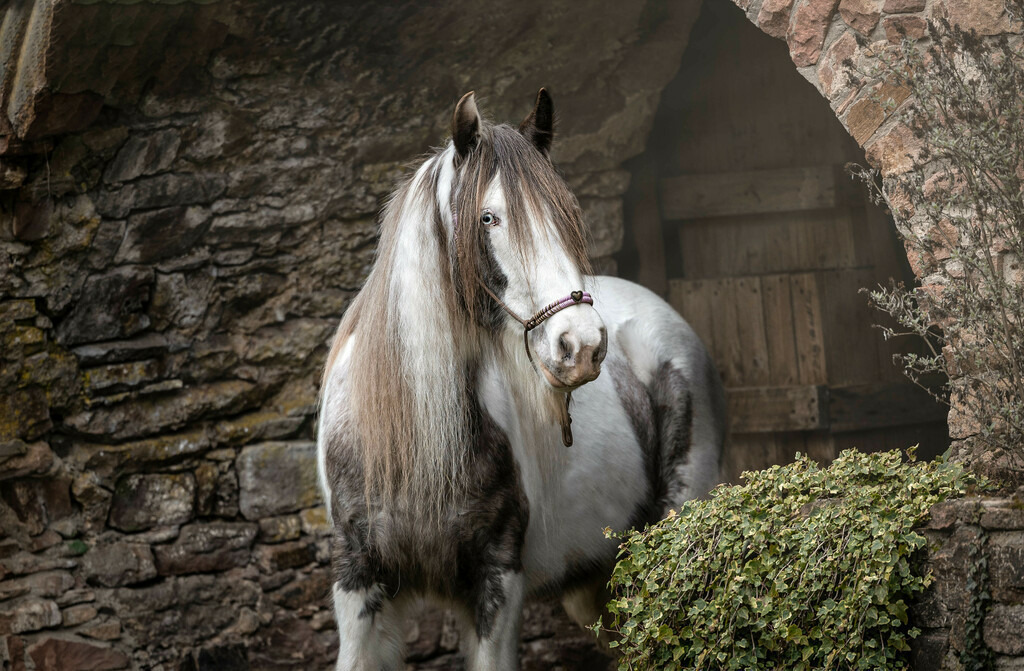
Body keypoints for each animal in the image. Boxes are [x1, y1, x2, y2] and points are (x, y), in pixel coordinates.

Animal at [317, 89, 726, 670]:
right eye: (489, 218)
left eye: (567, 214)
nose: (582, 345)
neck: (416, 440)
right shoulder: (358, 580)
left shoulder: (499, 577)